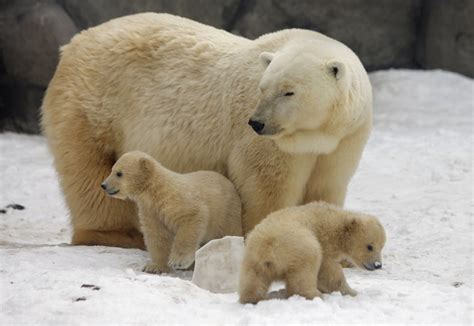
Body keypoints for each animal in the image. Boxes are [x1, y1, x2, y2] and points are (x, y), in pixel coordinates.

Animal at [40, 12, 372, 247]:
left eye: (288, 92)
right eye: (262, 87)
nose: (257, 122)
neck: (312, 134)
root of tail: (72, 44)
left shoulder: (344, 139)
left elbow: (325, 186)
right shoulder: (267, 144)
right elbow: (267, 187)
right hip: (92, 106)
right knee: (89, 169)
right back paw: (118, 235)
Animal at [100, 151, 241, 272]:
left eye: (119, 173)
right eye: (112, 169)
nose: (103, 185)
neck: (156, 191)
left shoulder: (177, 200)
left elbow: (192, 218)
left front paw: (178, 261)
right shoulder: (151, 210)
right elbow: (157, 235)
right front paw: (154, 266)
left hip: (227, 213)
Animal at [237, 202, 386, 304]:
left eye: (382, 246)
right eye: (370, 246)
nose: (377, 265)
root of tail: (269, 247)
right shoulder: (324, 244)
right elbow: (329, 273)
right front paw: (352, 292)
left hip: (253, 258)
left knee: (253, 280)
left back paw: (254, 298)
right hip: (302, 246)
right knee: (305, 271)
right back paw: (314, 294)